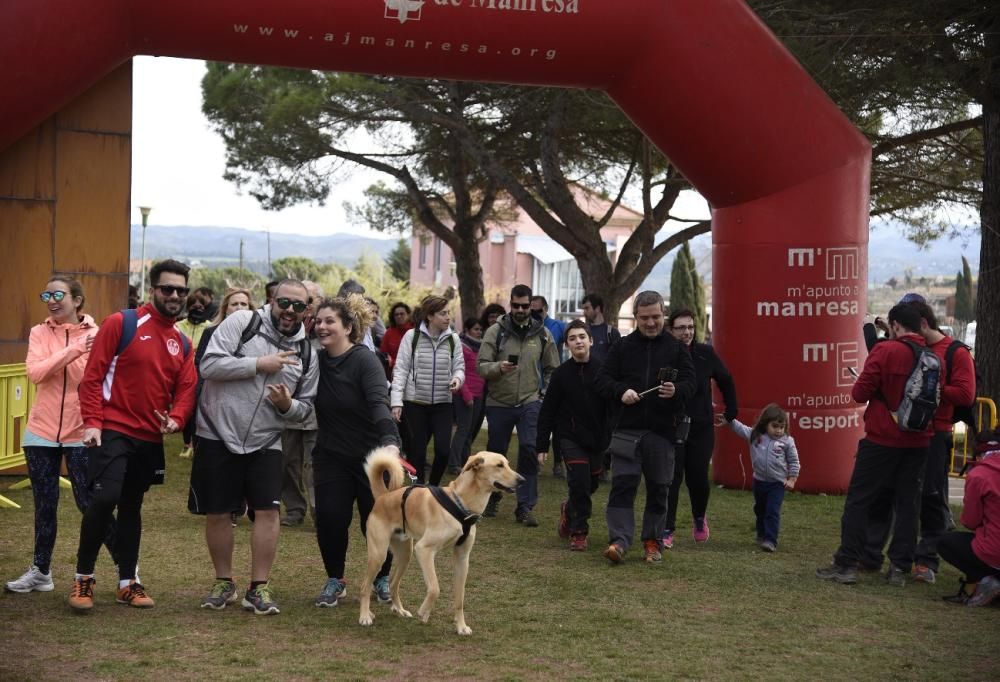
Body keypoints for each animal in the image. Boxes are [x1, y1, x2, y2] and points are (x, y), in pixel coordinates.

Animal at [360, 446, 524, 632]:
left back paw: (399, 610)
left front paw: (461, 626)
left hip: (405, 555)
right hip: (379, 555)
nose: (522, 480)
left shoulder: (462, 557)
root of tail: (383, 497)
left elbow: (460, 598)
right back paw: (365, 616)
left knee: (394, 584)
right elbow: (434, 588)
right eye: (499, 465)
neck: (461, 503)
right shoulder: (424, 550)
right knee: (365, 586)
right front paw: (424, 612)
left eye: (507, 464)